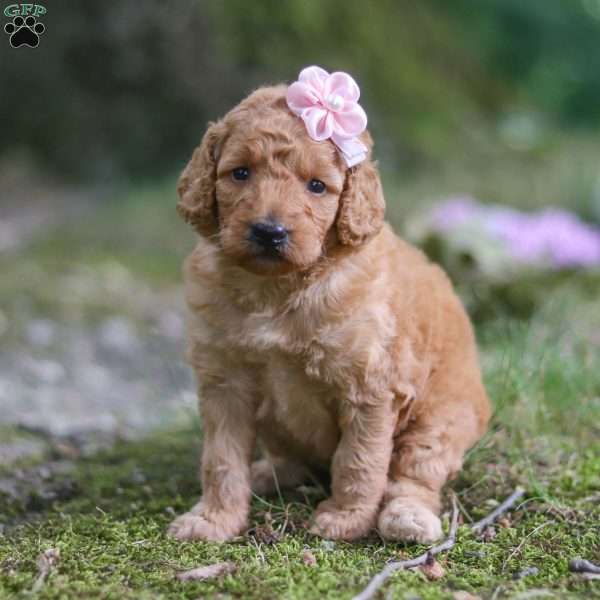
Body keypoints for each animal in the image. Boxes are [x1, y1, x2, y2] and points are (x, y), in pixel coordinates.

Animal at [166, 70, 490, 544]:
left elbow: (359, 460)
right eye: (240, 173)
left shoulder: (370, 389)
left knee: (414, 474)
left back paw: (406, 518)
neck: (278, 289)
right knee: (289, 460)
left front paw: (347, 519)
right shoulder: (224, 382)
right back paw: (266, 474)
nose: (269, 232)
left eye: (317, 185)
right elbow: (221, 460)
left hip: (441, 417)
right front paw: (213, 519)